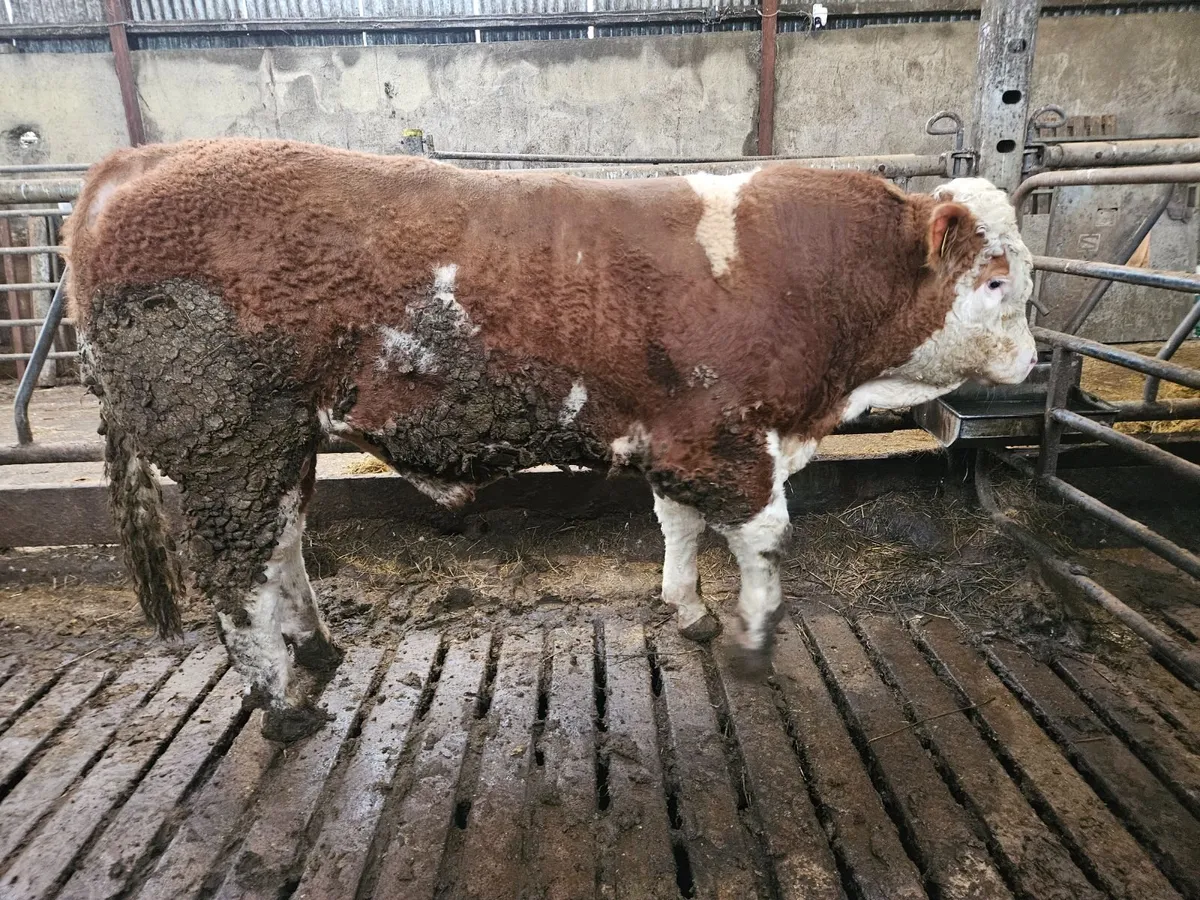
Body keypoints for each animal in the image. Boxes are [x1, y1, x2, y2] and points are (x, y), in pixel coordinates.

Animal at [64, 138, 1037, 741]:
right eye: (996, 282)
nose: (1032, 358)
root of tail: (137, 161)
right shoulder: (728, 441)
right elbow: (764, 539)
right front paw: (756, 641)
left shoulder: (675, 438)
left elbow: (679, 528)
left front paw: (691, 610)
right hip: (231, 444)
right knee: (236, 576)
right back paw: (280, 705)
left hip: (281, 445)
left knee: (283, 547)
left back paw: (317, 648)